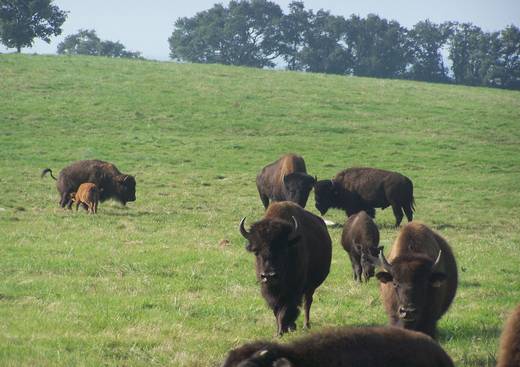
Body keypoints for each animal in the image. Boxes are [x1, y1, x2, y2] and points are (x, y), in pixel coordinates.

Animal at [239, 201, 332, 336]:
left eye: (282, 249)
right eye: (256, 251)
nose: (269, 275)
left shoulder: (293, 290)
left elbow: (286, 310)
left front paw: (282, 331)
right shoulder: (269, 292)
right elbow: (277, 310)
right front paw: (279, 331)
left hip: (311, 287)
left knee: (307, 303)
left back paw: (306, 325)